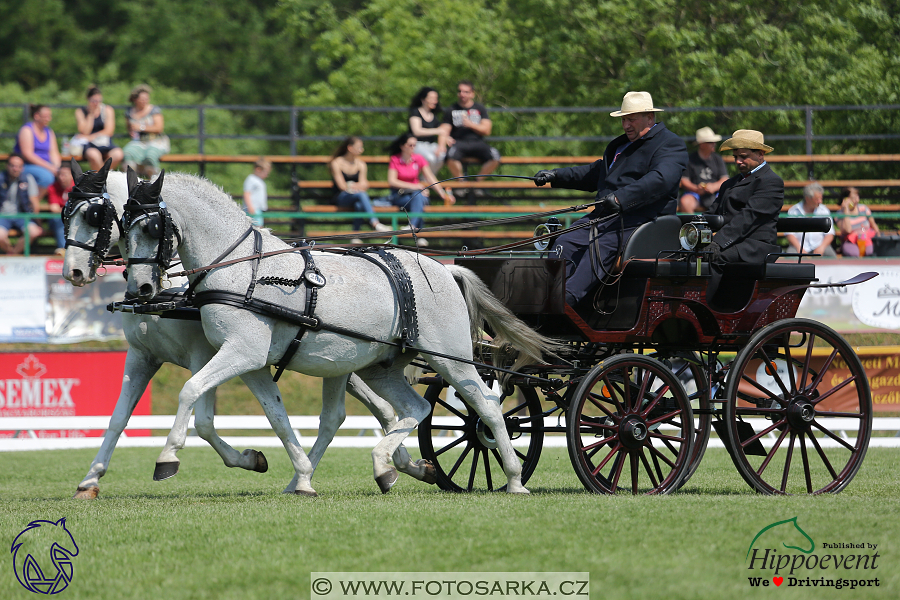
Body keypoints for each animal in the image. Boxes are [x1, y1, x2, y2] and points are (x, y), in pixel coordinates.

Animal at [62, 159, 432, 496]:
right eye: (66, 214)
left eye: (95, 216)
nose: (73, 273)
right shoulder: (143, 356)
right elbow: (118, 418)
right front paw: (90, 480)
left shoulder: (205, 353)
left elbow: (202, 417)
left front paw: (237, 458)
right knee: (375, 409)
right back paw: (402, 466)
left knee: (378, 409)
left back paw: (399, 465)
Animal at [119, 168, 556, 492]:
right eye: (123, 227)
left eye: (152, 227)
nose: (139, 288)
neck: (244, 269)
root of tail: (444, 268)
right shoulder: (249, 359)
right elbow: (274, 415)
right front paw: (293, 472)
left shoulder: (242, 352)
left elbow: (190, 390)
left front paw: (167, 458)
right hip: (381, 367)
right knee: (415, 409)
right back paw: (378, 465)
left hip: (453, 360)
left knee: (486, 405)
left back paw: (513, 479)